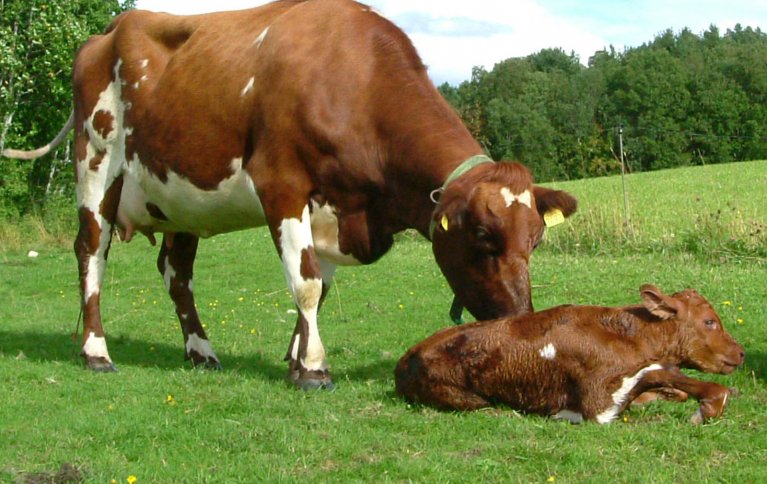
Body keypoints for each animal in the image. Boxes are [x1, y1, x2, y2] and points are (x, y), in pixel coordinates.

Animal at [1, 0, 576, 388]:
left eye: (536, 241)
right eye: (480, 235)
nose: (520, 318)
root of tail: (111, 29)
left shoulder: (336, 209)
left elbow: (321, 285)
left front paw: (298, 354)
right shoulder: (282, 184)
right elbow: (305, 283)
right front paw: (313, 369)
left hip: (181, 195)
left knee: (176, 272)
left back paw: (201, 350)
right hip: (96, 164)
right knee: (90, 253)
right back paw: (96, 352)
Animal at [396, 284, 744, 424]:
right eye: (709, 321)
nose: (740, 352)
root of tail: (406, 358)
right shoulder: (598, 403)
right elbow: (659, 370)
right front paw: (709, 404)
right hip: (466, 399)